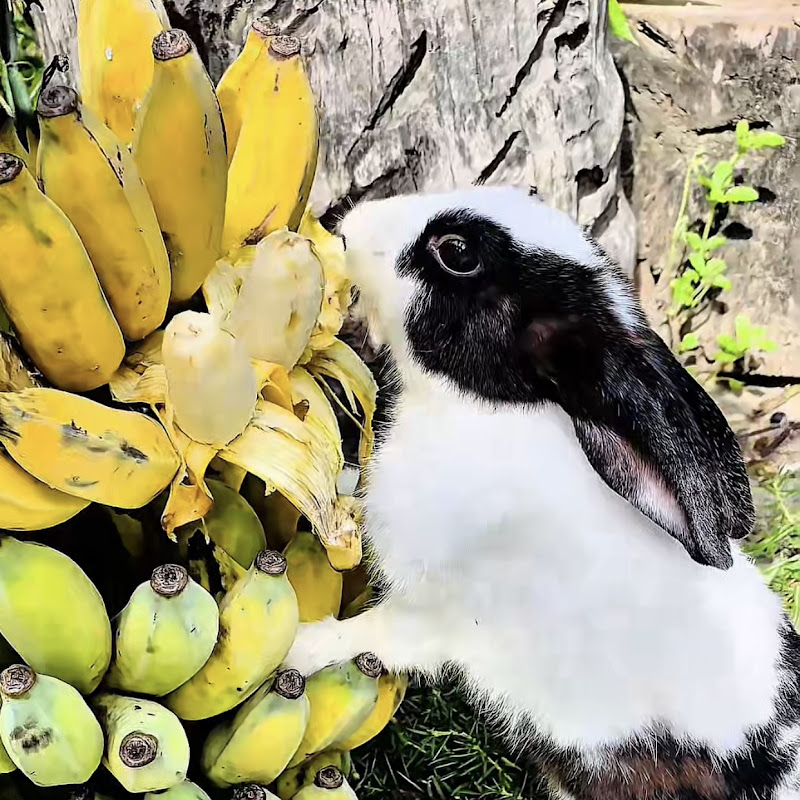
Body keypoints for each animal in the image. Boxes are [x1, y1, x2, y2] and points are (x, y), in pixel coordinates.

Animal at [284, 186, 800, 800]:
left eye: (456, 252)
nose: (352, 222)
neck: (488, 412)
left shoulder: (431, 614)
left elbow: (364, 638)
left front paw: (296, 649)